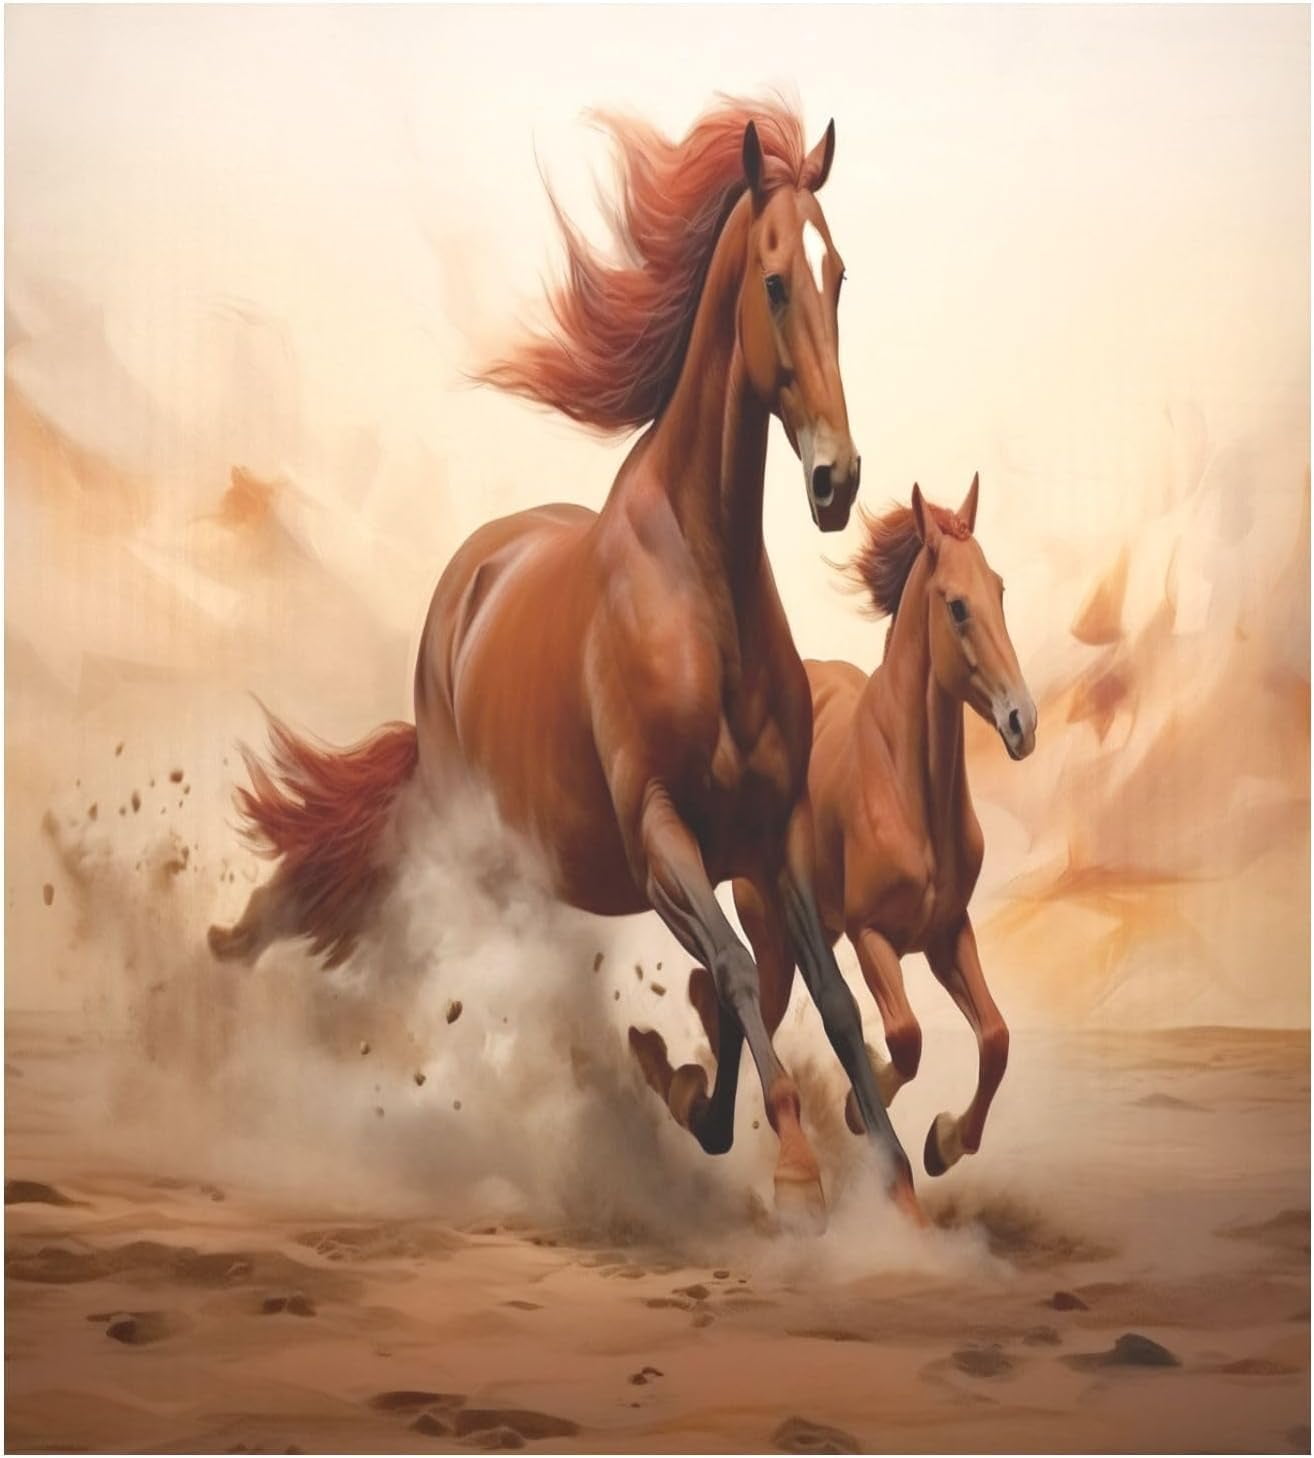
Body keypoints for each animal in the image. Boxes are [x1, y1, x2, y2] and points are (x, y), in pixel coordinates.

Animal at [208, 96, 920, 1226]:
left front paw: (889, 1182)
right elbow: (736, 971)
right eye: (776, 280)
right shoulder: (658, 835)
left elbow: (826, 998)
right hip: (474, 843)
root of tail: (467, 579)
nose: (835, 480)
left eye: (840, 274)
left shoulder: (769, 839)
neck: (705, 586)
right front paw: (794, 1169)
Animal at [691, 477, 1036, 1184]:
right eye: (957, 607)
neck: (909, 793)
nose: (1023, 721)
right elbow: (907, 1039)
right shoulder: (871, 934)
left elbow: (995, 1038)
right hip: (777, 935)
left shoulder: (947, 933)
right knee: (752, 1011)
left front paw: (943, 1143)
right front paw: (860, 1105)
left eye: (1000, 590)